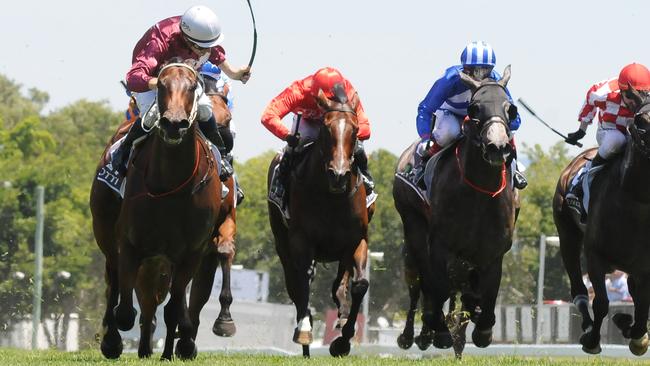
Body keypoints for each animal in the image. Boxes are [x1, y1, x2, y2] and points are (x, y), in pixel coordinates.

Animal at [88, 61, 221, 358]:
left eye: (193, 86)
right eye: (161, 84)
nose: (173, 124)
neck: (172, 185)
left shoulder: (192, 252)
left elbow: (173, 308)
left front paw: (180, 347)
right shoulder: (129, 243)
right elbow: (125, 310)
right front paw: (115, 339)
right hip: (105, 230)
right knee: (114, 282)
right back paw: (114, 340)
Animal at [266, 89, 370, 358]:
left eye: (355, 129)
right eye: (325, 128)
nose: (339, 175)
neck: (332, 197)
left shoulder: (358, 239)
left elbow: (360, 285)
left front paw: (343, 340)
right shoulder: (302, 240)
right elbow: (305, 278)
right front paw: (305, 330)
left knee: (340, 282)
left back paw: (341, 314)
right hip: (282, 244)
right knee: (294, 284)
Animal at [426, 66, 516, 352]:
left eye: (510, 109)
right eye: (475, 108)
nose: (497, 147)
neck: (479, 193)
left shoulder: (492, 253)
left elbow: (489, 293)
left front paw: (483, 329)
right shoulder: (441, 246)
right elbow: (440, 286)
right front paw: (442, 332)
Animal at [548, 86, 648, 354]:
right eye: (642, 120)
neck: (636, 201)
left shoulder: (644, 265)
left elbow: (642, 308)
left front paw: (635, 333)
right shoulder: (595, 255)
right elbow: (602, 302)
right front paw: (592, 339)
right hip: (567, 235)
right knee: (579, 289)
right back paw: (586, 324)